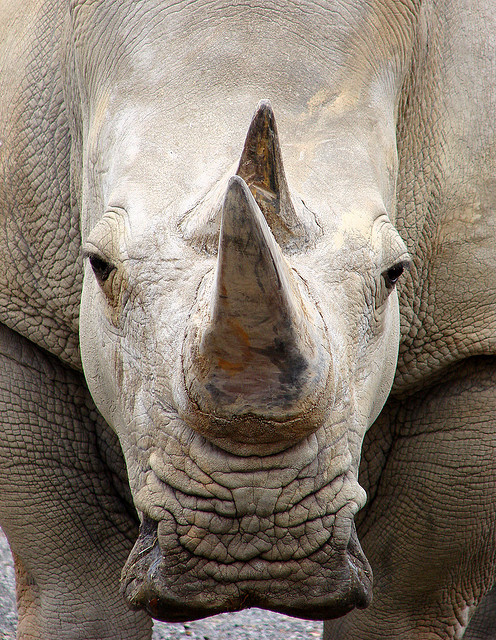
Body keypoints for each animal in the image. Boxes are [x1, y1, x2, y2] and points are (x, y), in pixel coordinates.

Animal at [0, 0, 495, 638]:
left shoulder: (471, 337)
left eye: (395, 273)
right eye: (99, 266)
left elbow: (410, 586)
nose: (254, 533)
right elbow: (75, 578)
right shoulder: (20, 309)